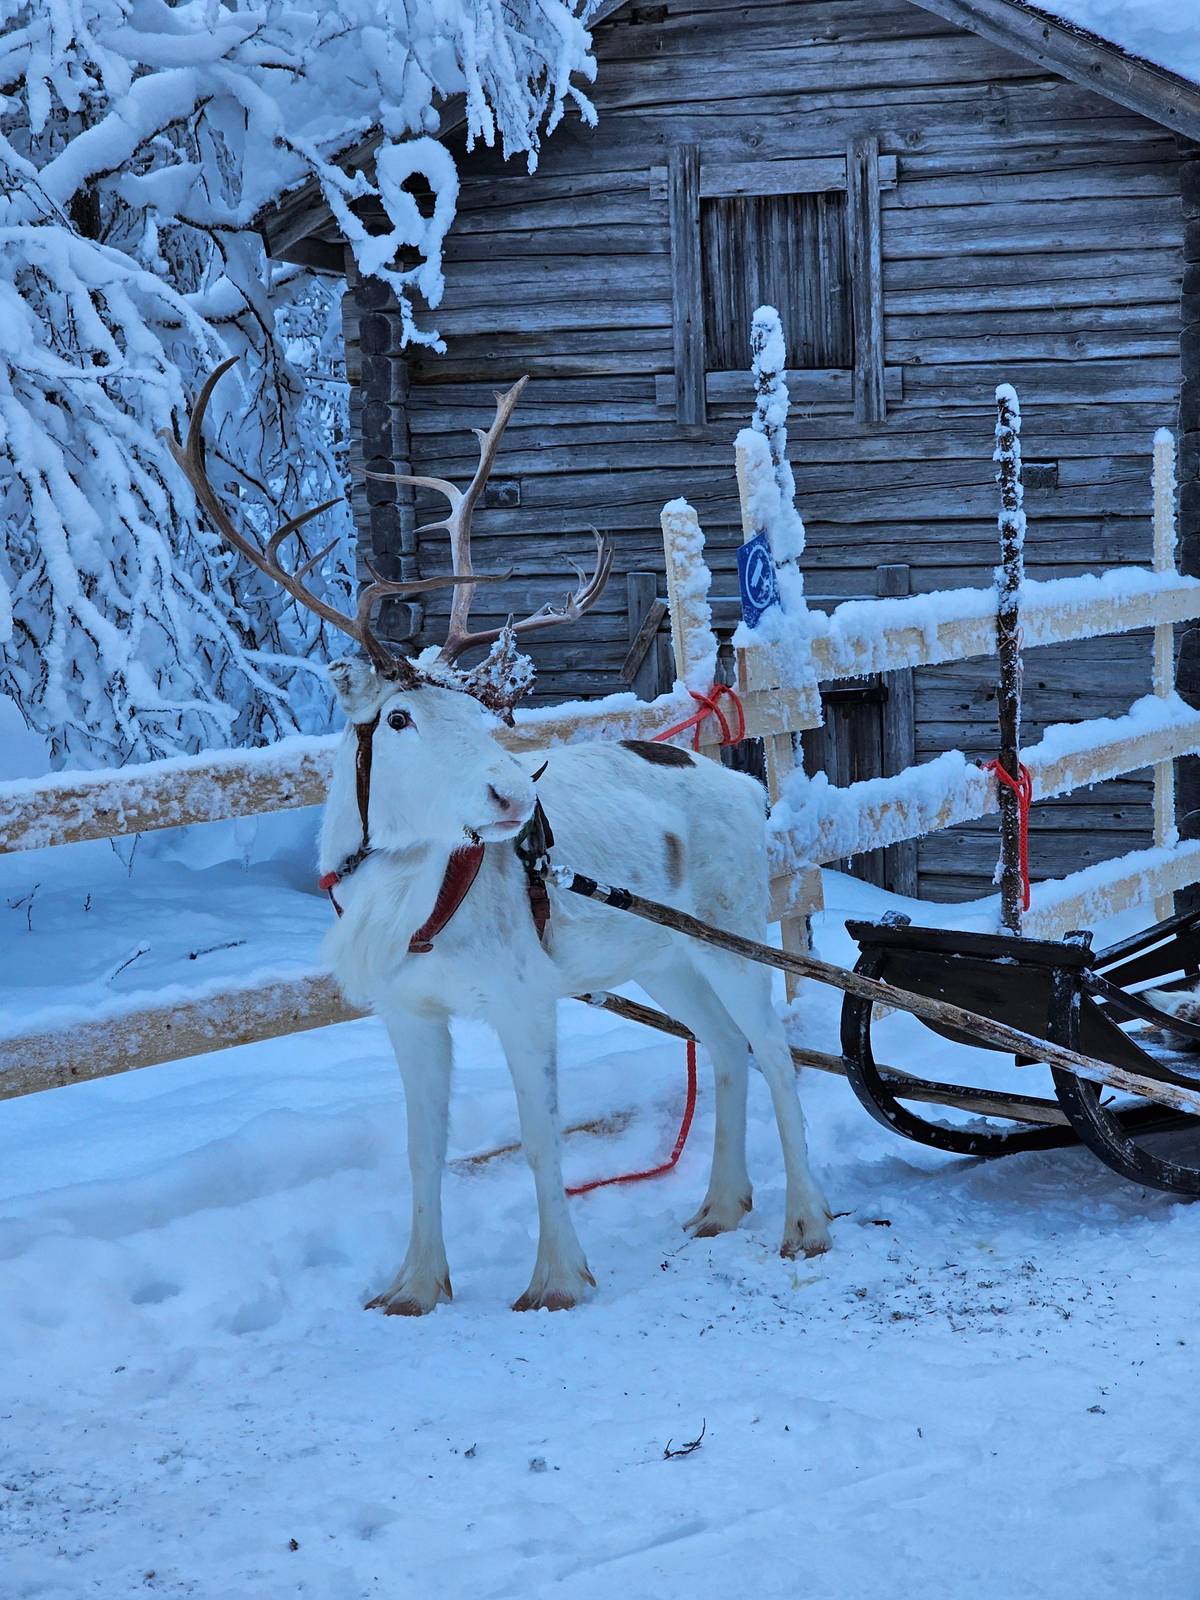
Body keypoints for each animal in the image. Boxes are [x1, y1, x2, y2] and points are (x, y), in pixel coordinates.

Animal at [168, 362, 832, 1315]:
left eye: (482, 715)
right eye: (399, 718)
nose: (516, 793)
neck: (403, 903)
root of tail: (745, 787)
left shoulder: (524, 997)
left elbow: (540, 1135)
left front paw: (557, 1278)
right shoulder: (408, 1013)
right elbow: (424, 1151)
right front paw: (412, 1287)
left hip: (733, 929)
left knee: (776, 1052)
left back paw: (805, 1222)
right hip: (660, 956)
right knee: (724, 1049)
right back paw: (719, 1206)